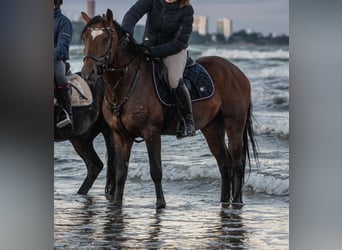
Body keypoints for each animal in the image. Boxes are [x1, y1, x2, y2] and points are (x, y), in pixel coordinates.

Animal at [81, 9, 258, 209]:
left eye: (105, 39)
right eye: (85, 38)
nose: (88, 73)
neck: (124, 84)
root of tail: (237, 72)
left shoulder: (151, 132)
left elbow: (156, 170)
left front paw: (160, 203)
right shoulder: (120, 135)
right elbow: (120, 172)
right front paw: (117, 203)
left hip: (234, 124)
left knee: (237, 162)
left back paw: (237, 201)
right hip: (212, 128)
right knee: (224, 162)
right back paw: (224, 201)